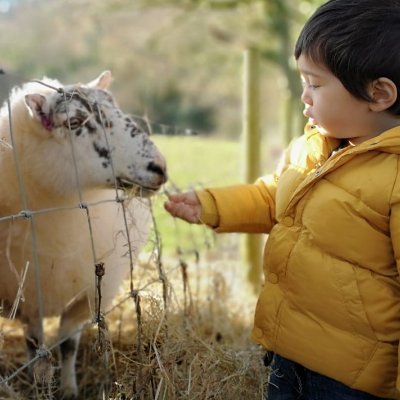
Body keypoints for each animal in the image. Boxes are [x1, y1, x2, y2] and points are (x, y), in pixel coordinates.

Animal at [0, 72, 167, 400]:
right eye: (74, 122)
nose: (159, 167)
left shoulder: (86, 293)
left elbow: (67, 345)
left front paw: (68, 390)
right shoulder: (29, 296)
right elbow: (36, 350)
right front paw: (41, 386)